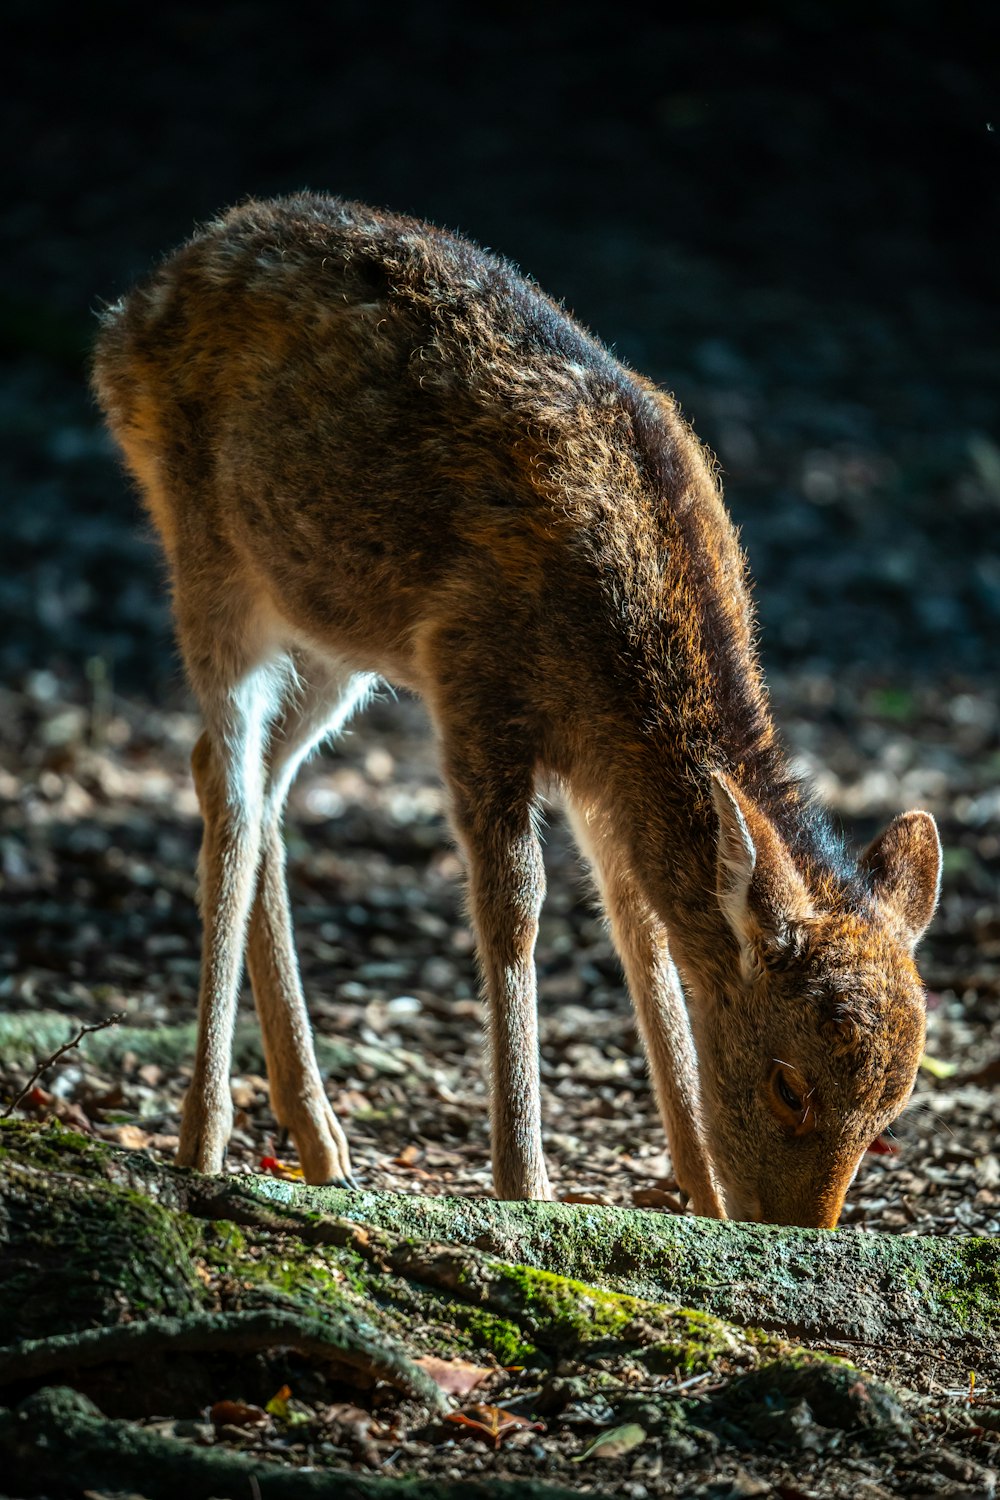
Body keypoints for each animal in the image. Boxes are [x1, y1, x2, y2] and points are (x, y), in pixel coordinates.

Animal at [89, 196, 941, 1230]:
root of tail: (128, 313)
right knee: (226, 775)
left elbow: (638, 923)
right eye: (789, 1085)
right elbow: (517, 906)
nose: (798, 1232)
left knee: (263, 781)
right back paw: (205, 1136)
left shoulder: (601, 769)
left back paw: (319, 1138)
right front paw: (525, 1183)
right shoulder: (474, 678)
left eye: (894, 1109)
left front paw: (697, 1189)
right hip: (205, 548)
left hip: (335, 629)